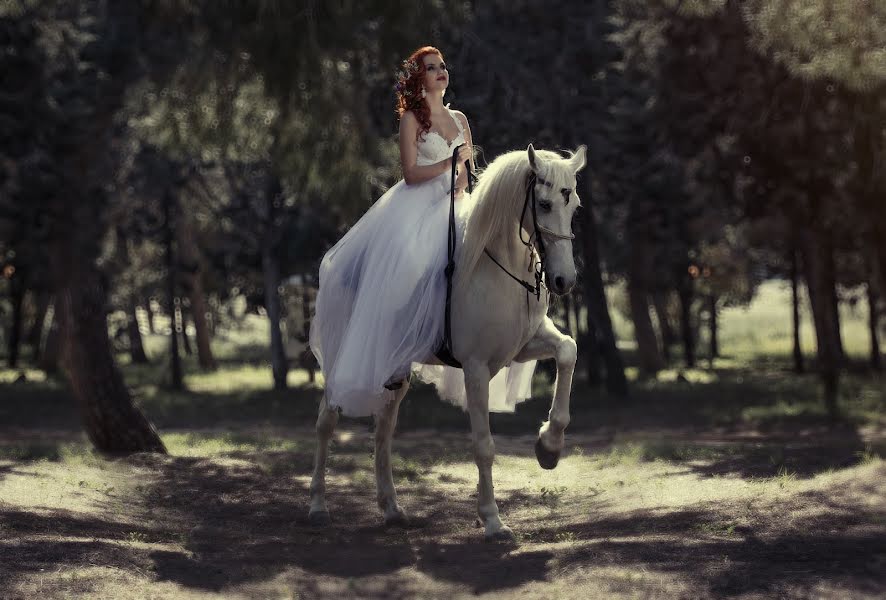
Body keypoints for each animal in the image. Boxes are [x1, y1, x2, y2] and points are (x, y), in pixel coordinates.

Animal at [308, 144, 588, 540]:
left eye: (574, 205)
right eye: (544, 204)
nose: (565, 281)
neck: (497, 266)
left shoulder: (522, 347)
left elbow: (568, 351)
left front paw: (549, 446)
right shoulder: (476, 369)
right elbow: (484, 445)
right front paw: (492, 519)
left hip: (394, 371)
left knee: (383, 430)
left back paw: (391, 508)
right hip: (342, 363)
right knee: (326, 422)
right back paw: (318, 505)